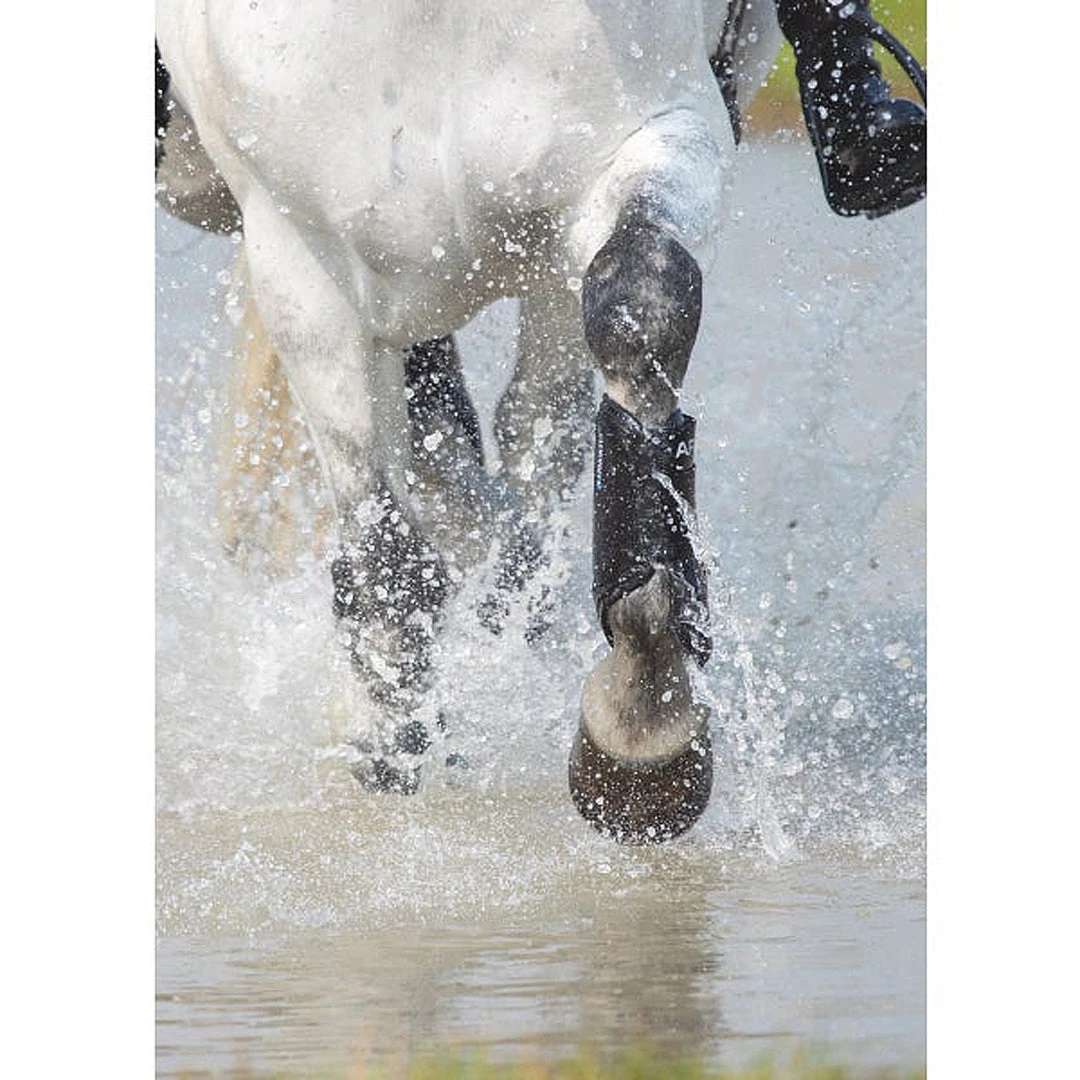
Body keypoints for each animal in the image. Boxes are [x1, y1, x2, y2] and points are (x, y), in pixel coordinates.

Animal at [155, 0, 787, 843]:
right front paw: (388, 742)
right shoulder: (300, 252)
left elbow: (639, 308)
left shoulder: (638, 149)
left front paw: (642, 724)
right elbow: (387, 544)